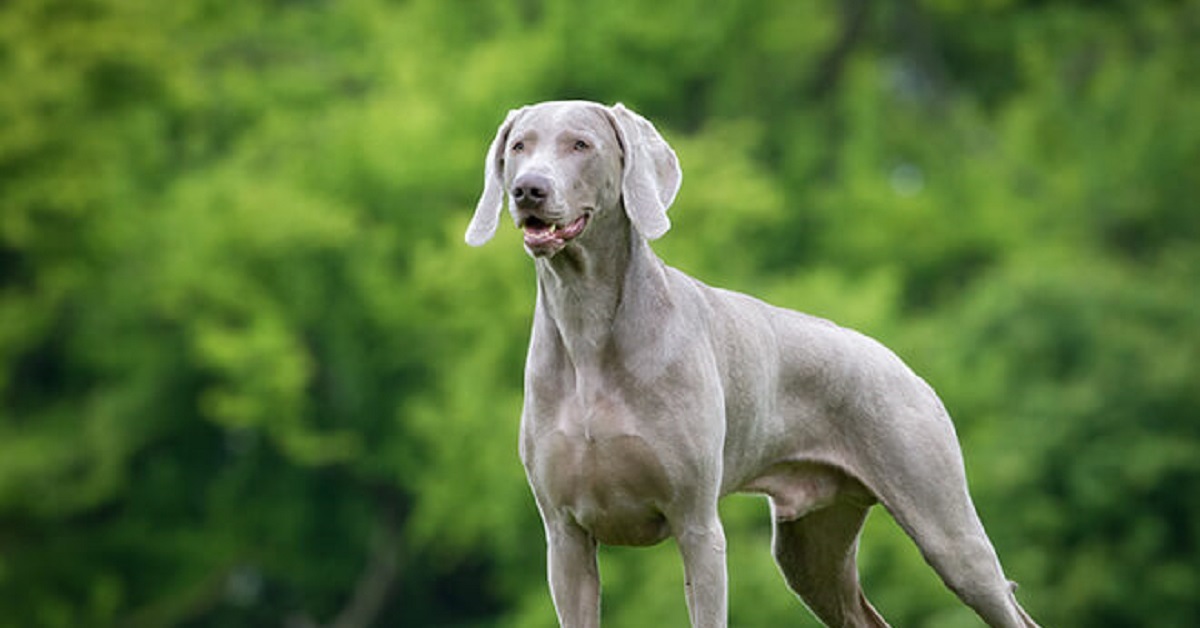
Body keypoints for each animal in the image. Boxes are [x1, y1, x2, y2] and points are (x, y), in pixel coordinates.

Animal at [463, 100, 1036, 624]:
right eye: (519, 147)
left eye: (581, 144)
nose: (528, 189)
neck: (587, 330)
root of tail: (902, 364)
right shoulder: (565, 537)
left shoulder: (697, 525)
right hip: (810, 547)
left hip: (945, 527)